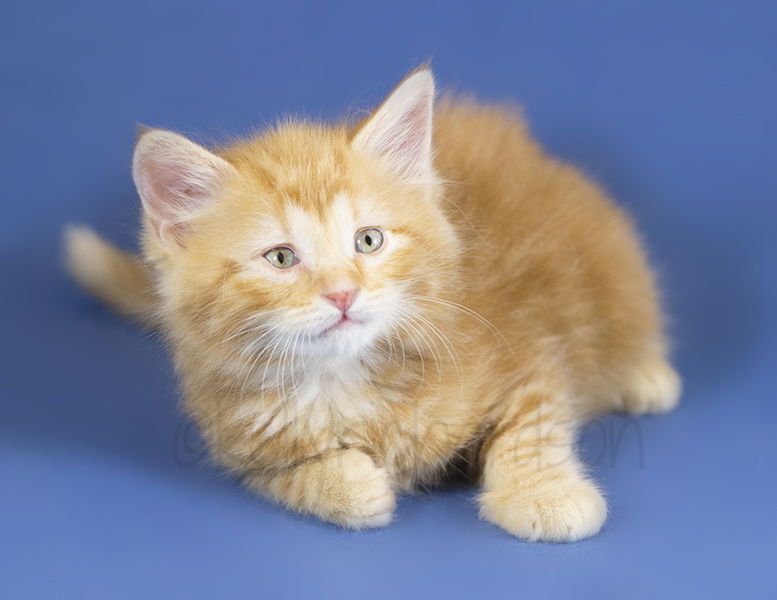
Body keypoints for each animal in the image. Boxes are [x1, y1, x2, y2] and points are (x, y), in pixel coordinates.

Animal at [65, 68, 680, 540]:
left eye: (368, 240)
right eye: (281, 258)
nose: (343, 292)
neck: (341, 380)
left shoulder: (529, 348)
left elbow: (533, 426)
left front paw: (545, 496)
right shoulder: (236, 441)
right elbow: (287, 475)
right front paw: (348, 485)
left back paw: (645, 375)